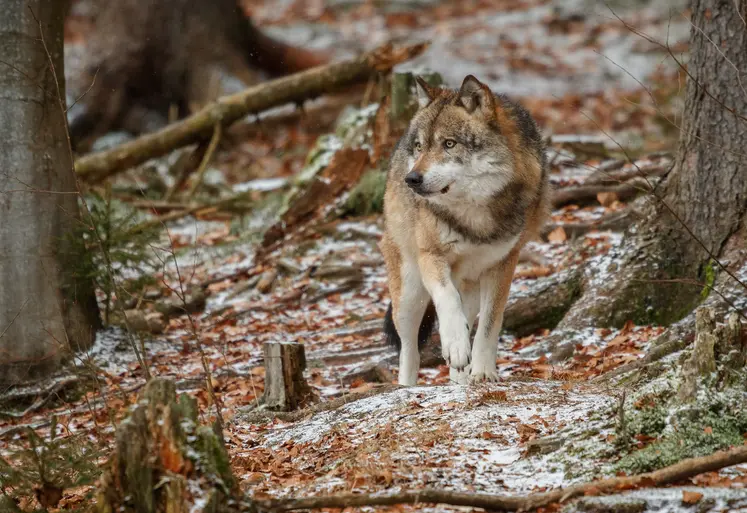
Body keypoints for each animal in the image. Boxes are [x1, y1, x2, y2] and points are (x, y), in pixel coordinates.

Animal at [380, 75, 548, 384]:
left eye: (449, 144)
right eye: (420, 146)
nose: (411, 179)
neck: (473, 216)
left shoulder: (504, 263)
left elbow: (490, 325)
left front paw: (483, 372)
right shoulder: (430, 255)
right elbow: (447, 300)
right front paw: (456, 346)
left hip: (469, 286)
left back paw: (459, 379)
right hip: (410, 293)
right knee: (409, 349)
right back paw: (408, 385)